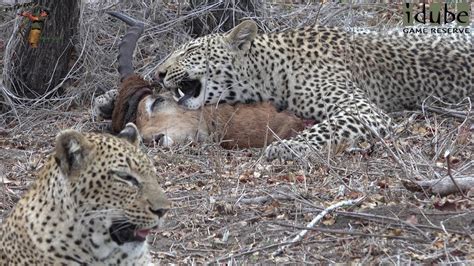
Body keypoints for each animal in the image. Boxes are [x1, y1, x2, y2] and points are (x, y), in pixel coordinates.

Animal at [155, 20, 470, 160]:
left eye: (190, 52)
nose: (158, 73)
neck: (270, 69)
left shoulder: (364, 110)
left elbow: (326, 128)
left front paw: (286, 147)